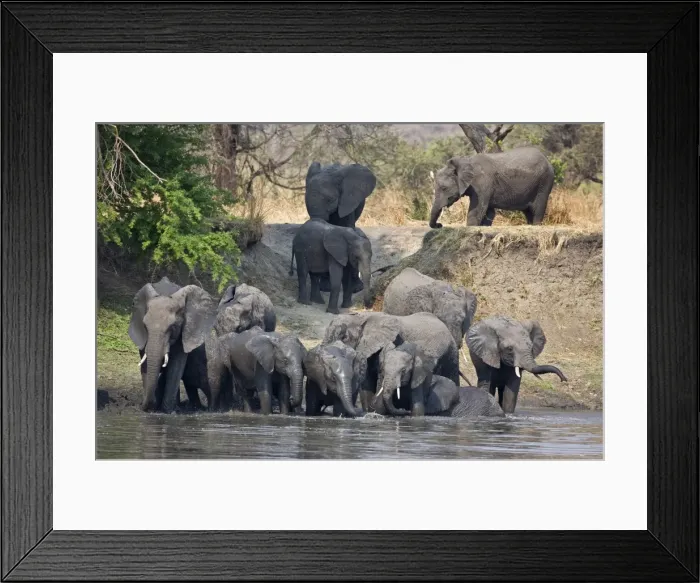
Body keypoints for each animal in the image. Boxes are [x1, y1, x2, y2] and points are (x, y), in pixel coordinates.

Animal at [128, 278, 228, 413]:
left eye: (172, 327)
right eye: (145, 326)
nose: (145, 406)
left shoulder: (184, 332)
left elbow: (176, 365)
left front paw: (168, 411)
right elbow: (146, 363)